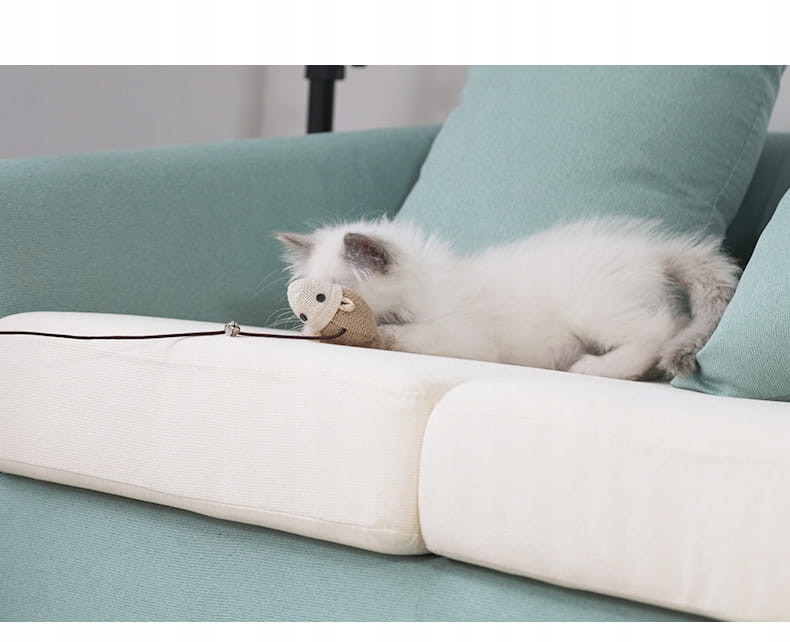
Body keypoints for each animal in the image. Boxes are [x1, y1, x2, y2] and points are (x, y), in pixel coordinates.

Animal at [276, 216, 741, 380]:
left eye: (330, 297)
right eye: (304, 306)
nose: (309, 324)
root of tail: (653, 251)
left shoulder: (468, 340)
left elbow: (406, 336)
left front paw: (380, 335)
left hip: (589, 306)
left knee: (659, 326)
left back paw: (599, 368)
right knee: (675, 322)